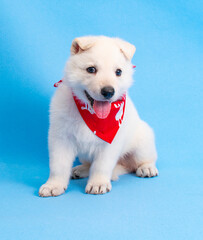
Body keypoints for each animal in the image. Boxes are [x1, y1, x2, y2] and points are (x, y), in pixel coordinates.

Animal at [38, 36, 158, 197]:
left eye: (118, 72)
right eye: (91, 69)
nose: (108, 91)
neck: (92, 115)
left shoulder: (110, 144)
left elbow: (100, 166)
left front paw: (98, 183)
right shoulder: (60, 139)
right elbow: (59, 165)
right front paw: (53, 185)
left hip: (142, 143)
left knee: (143, 160)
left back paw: (147, 168)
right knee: (89, 164)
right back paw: (80, 169)